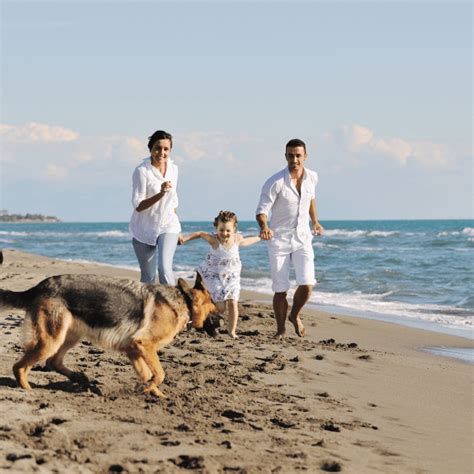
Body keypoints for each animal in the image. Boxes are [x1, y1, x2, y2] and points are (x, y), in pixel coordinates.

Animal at [0, 272, 220, 398]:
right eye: (214, 305)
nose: (223, 322)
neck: (184, 301)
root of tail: (40, 286)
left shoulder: (134, 349)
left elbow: (147, 374)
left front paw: (154, 394)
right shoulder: (144, 345)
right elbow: (159, 374)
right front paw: (149, 390)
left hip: (69, 337)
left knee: (53, 362)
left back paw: (81, 378)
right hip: (51, 340)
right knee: (20, 366)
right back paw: (28, 390)